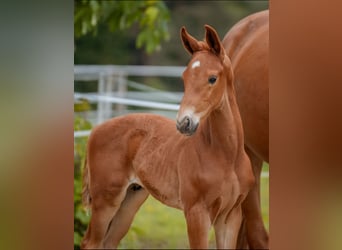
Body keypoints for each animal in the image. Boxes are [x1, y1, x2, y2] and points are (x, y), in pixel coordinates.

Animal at [81, 24, 255, 248]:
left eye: (212, 78)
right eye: (184, 78)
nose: (184, 123)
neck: (227, 156)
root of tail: (96, 130)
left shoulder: (231, 216)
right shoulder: (196, 213)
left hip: (131, 199)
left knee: (109, 242)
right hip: (106, 201)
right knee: (90, 242)